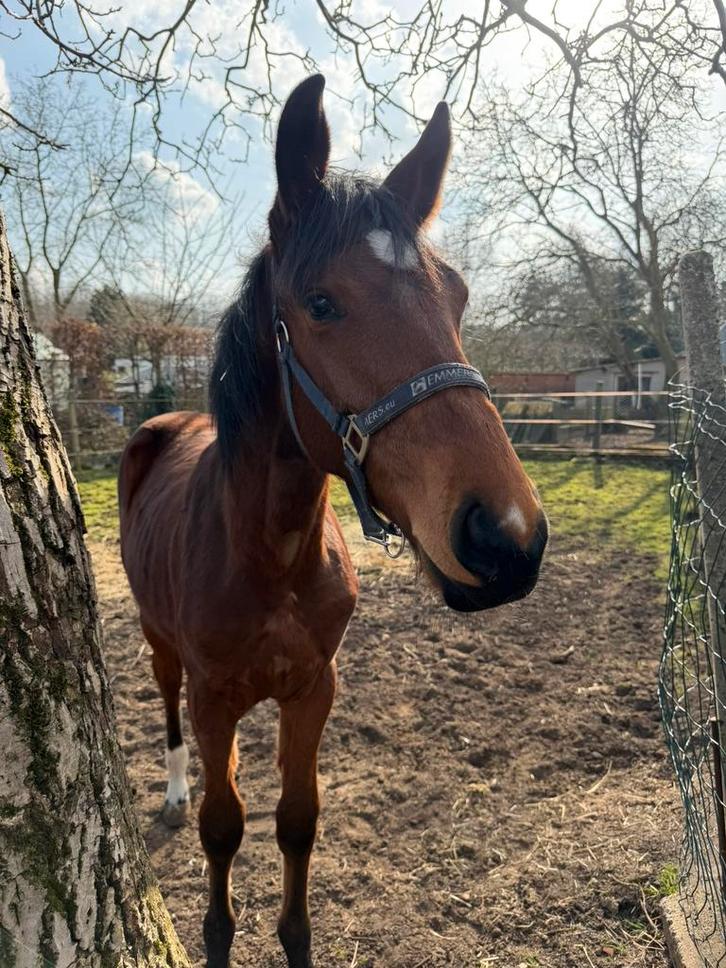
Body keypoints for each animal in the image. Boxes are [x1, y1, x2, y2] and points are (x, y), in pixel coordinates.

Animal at [118, 74, 548, 968]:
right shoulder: (215, 698)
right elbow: (223, 827)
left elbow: (296, 822)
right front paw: (217, 936)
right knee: (165, 705)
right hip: (158, 641)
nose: (508, 537)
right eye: (321, 303)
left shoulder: (314, 688)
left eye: (458, 296)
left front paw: (295, 938)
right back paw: (172, 790)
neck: (269, 555)